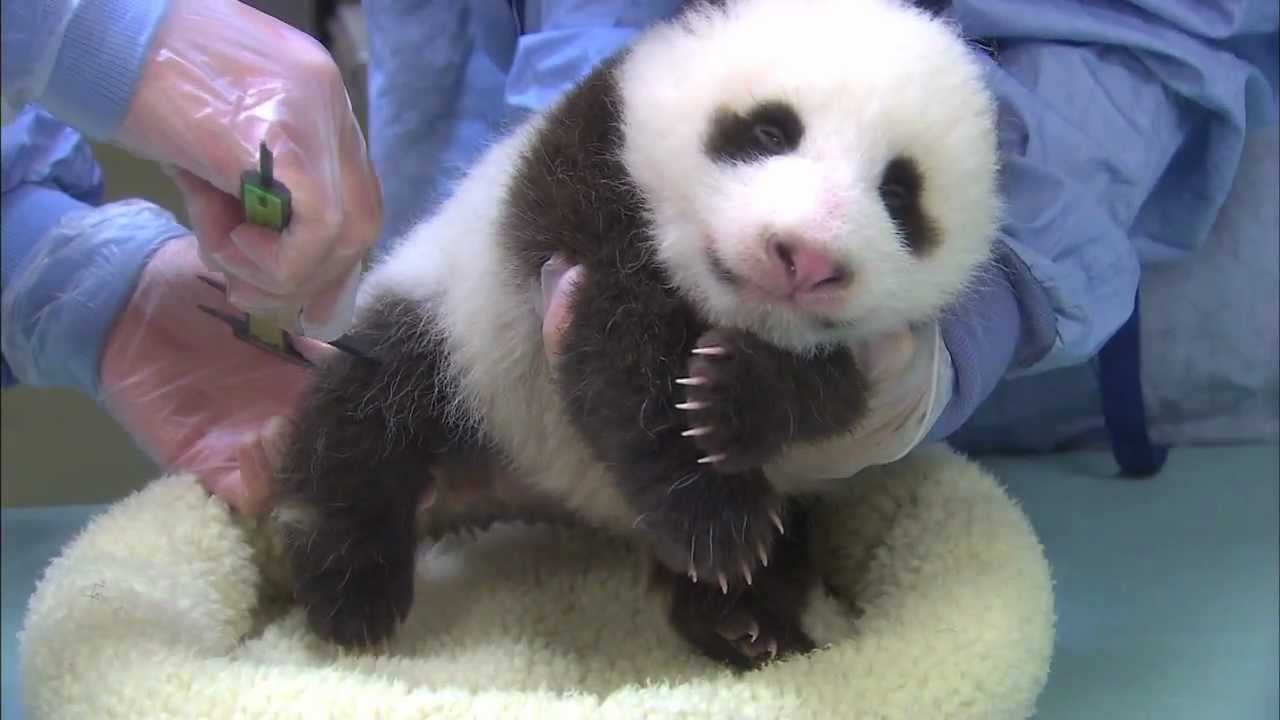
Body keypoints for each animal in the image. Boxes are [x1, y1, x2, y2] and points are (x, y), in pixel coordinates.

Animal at [273, 0, 1001, 670]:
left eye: (899, 193)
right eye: (769, 130)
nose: (805, 257)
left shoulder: (887, 344)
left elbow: (843, 387)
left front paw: (737, 397)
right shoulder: (592, 185)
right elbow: (618, 350)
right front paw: (713, 517)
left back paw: (745, 620)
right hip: (454, 322)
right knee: (366, 417)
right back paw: (351, 591)